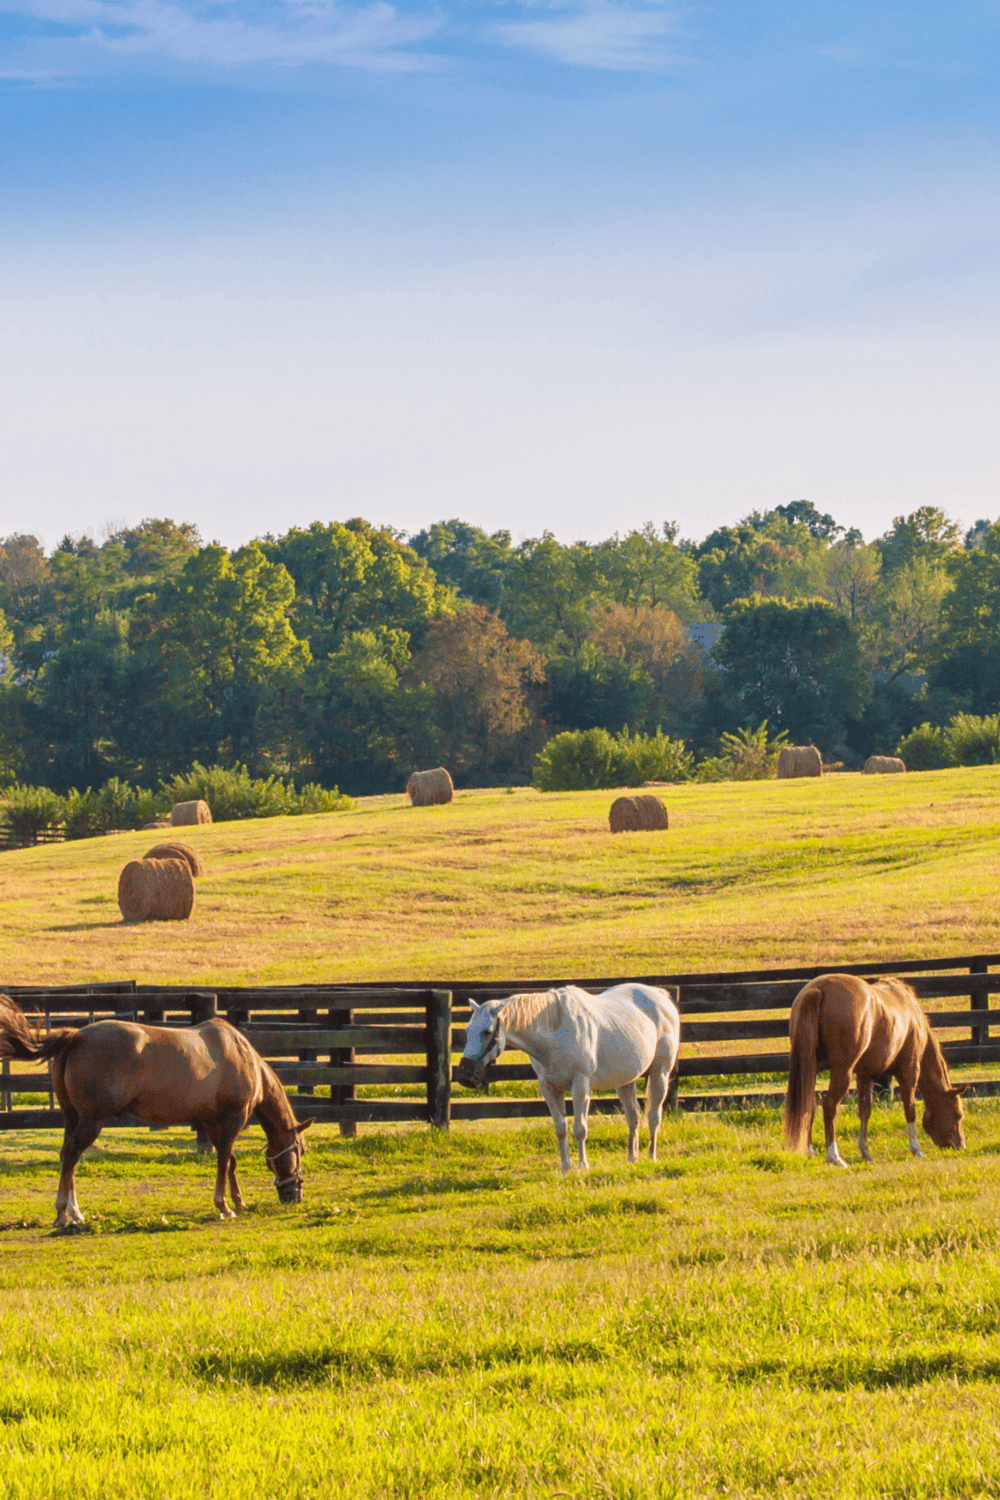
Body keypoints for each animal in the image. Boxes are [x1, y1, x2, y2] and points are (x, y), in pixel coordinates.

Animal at [0, 996, 314, 1226]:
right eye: (300, 1150)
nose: (295, 1195)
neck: (242, 1056)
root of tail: (76, 1036)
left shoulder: (212, 1123)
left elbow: (230, 1162)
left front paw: (238, 1201)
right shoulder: (231, 1121)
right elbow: (225, 1161)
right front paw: (224, 1206)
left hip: (72, 1118)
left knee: (68, 1155)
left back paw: (76, 1212)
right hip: (91, 1121)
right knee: (71, 1155)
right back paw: (63, 1213)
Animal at [456, 983, 680, 1174]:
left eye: (487, 1032)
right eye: (467, 1030)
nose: (466, 1075)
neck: (555, 1030)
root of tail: (660, 995)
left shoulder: (580, 1086)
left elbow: (580, 1128)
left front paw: (583, 1165)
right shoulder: (548, 1088)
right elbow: (560, 1128)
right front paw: (565, 1167)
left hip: (660, 1073)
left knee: (654, 1116)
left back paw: (651, 1157)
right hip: (625, 1082)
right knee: (633, 1118)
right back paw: (632, 1158)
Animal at [783, 973, 967, 1166]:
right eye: (958, 1114)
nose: (961, 1146)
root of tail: (819, 989)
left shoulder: (865, 1074)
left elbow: (865, 1111)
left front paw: (865, 1152)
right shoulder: (909, 1073)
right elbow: (910, 1109)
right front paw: (916, 1149)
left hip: (812, 1066)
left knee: (808, 1105)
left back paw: (810, 1152)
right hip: (842, 1072)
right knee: (829, 1106)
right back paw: (834, 1156)